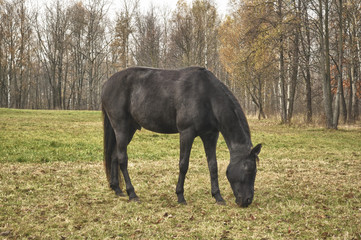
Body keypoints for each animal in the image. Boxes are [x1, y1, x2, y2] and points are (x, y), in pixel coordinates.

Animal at [101, 66, 262, 207]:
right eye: (249, 169)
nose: (247, 200)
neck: (207, 96)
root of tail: (107, 84)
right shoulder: (186, 133)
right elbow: (183, 164)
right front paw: (180, 196)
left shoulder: (210, 136)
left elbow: (213, 166)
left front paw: (218, 196)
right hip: (121, 128)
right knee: (122, 159)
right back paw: (132, 194)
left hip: (129, 129)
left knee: (114, 156)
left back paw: (117, 189)